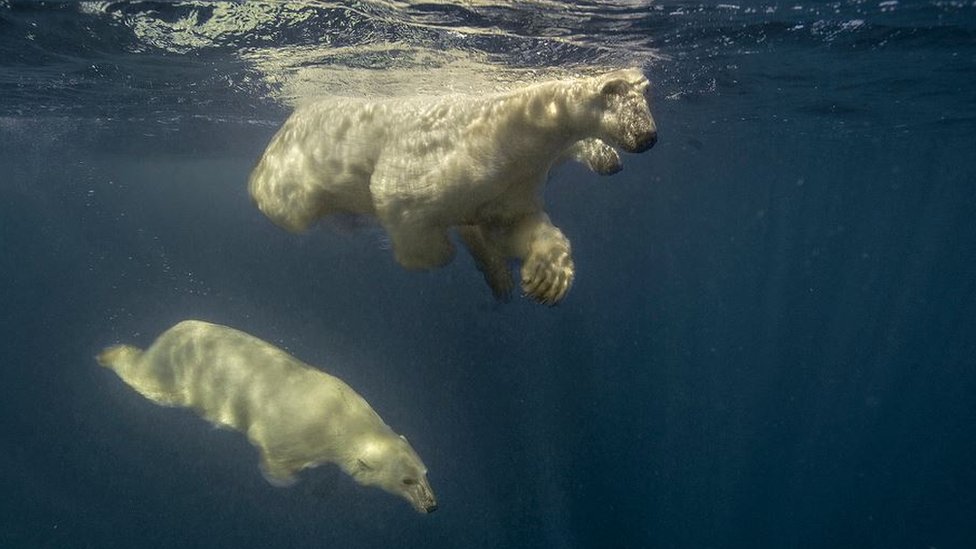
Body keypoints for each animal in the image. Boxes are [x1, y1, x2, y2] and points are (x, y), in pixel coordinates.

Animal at [97, 320, 437, 514]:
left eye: (425, 472)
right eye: (406, 480)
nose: (432, 505)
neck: (342, 419)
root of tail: (166, 336)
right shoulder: (292, 434)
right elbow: (275, 458)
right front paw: (286, 479)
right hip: (172, 375)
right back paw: (110, 354)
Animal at [248, 67, 657, 304]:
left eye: (646, 104)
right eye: (634, 109)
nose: (649, 138)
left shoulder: (515, 181)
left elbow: (511, 225)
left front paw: (545, 277)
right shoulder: (444, 157)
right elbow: (401, 199)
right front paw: (440, 252)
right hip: (297, 169)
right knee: (288, 204)